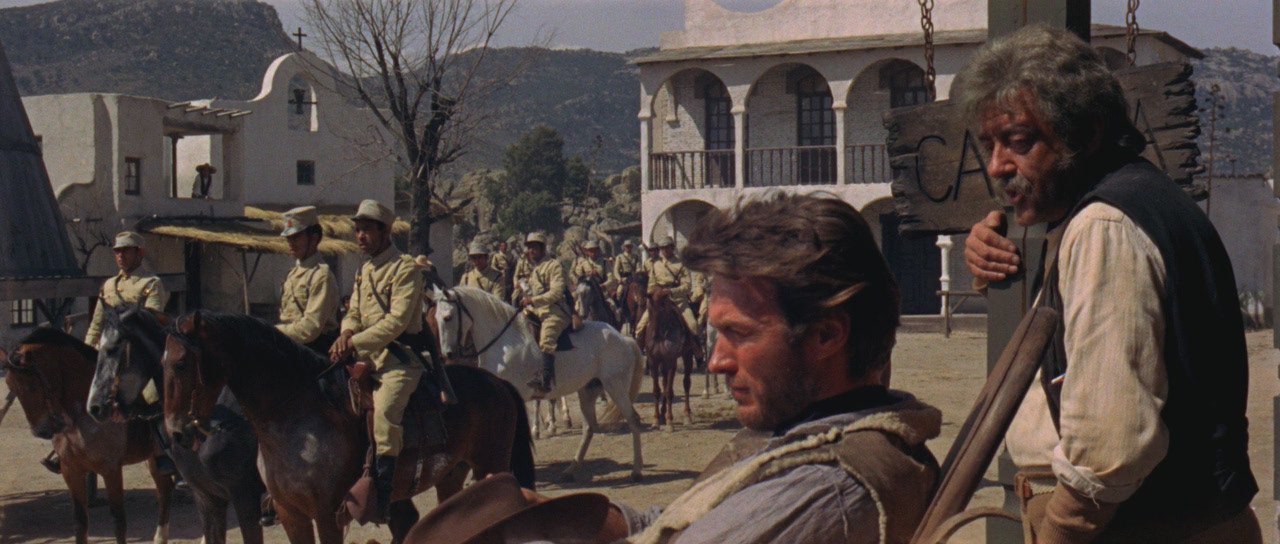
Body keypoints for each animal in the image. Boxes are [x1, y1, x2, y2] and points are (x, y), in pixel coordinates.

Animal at [2, 327, 175, 544]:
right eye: (11, 387)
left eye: (33, 386)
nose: (41, 431)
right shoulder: (71, 470)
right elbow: (80, 521)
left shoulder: (111, 470)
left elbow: (118, 520)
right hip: (155, 459)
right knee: (165, 491)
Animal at [160, 310, 534, 544]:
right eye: (164, 363)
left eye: (182, 363)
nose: (176, 431)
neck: (293, 414)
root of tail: (497, 382)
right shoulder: (288, 512)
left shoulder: (325, 514)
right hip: (451, 475)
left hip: (490, 466)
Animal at [430, 285, 646, 482]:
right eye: (435, 318)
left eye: (448, 317)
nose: (448, 354)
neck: (505, 343)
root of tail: (624, 339)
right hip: (587, 390)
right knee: (589, 428)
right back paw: (571, 470)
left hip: (615, 387)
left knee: (633, 420)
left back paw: (636, 471)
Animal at [644, 293, 700, 430]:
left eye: (664, 306)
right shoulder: (653, 361)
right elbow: (657, 390)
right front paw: (656, 420)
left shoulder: (670, 361)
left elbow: (669, 391)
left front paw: (670, 422)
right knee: (665, 384)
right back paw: (662, 414)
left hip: (687, 355)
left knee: (686, 383)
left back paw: (687, 416)